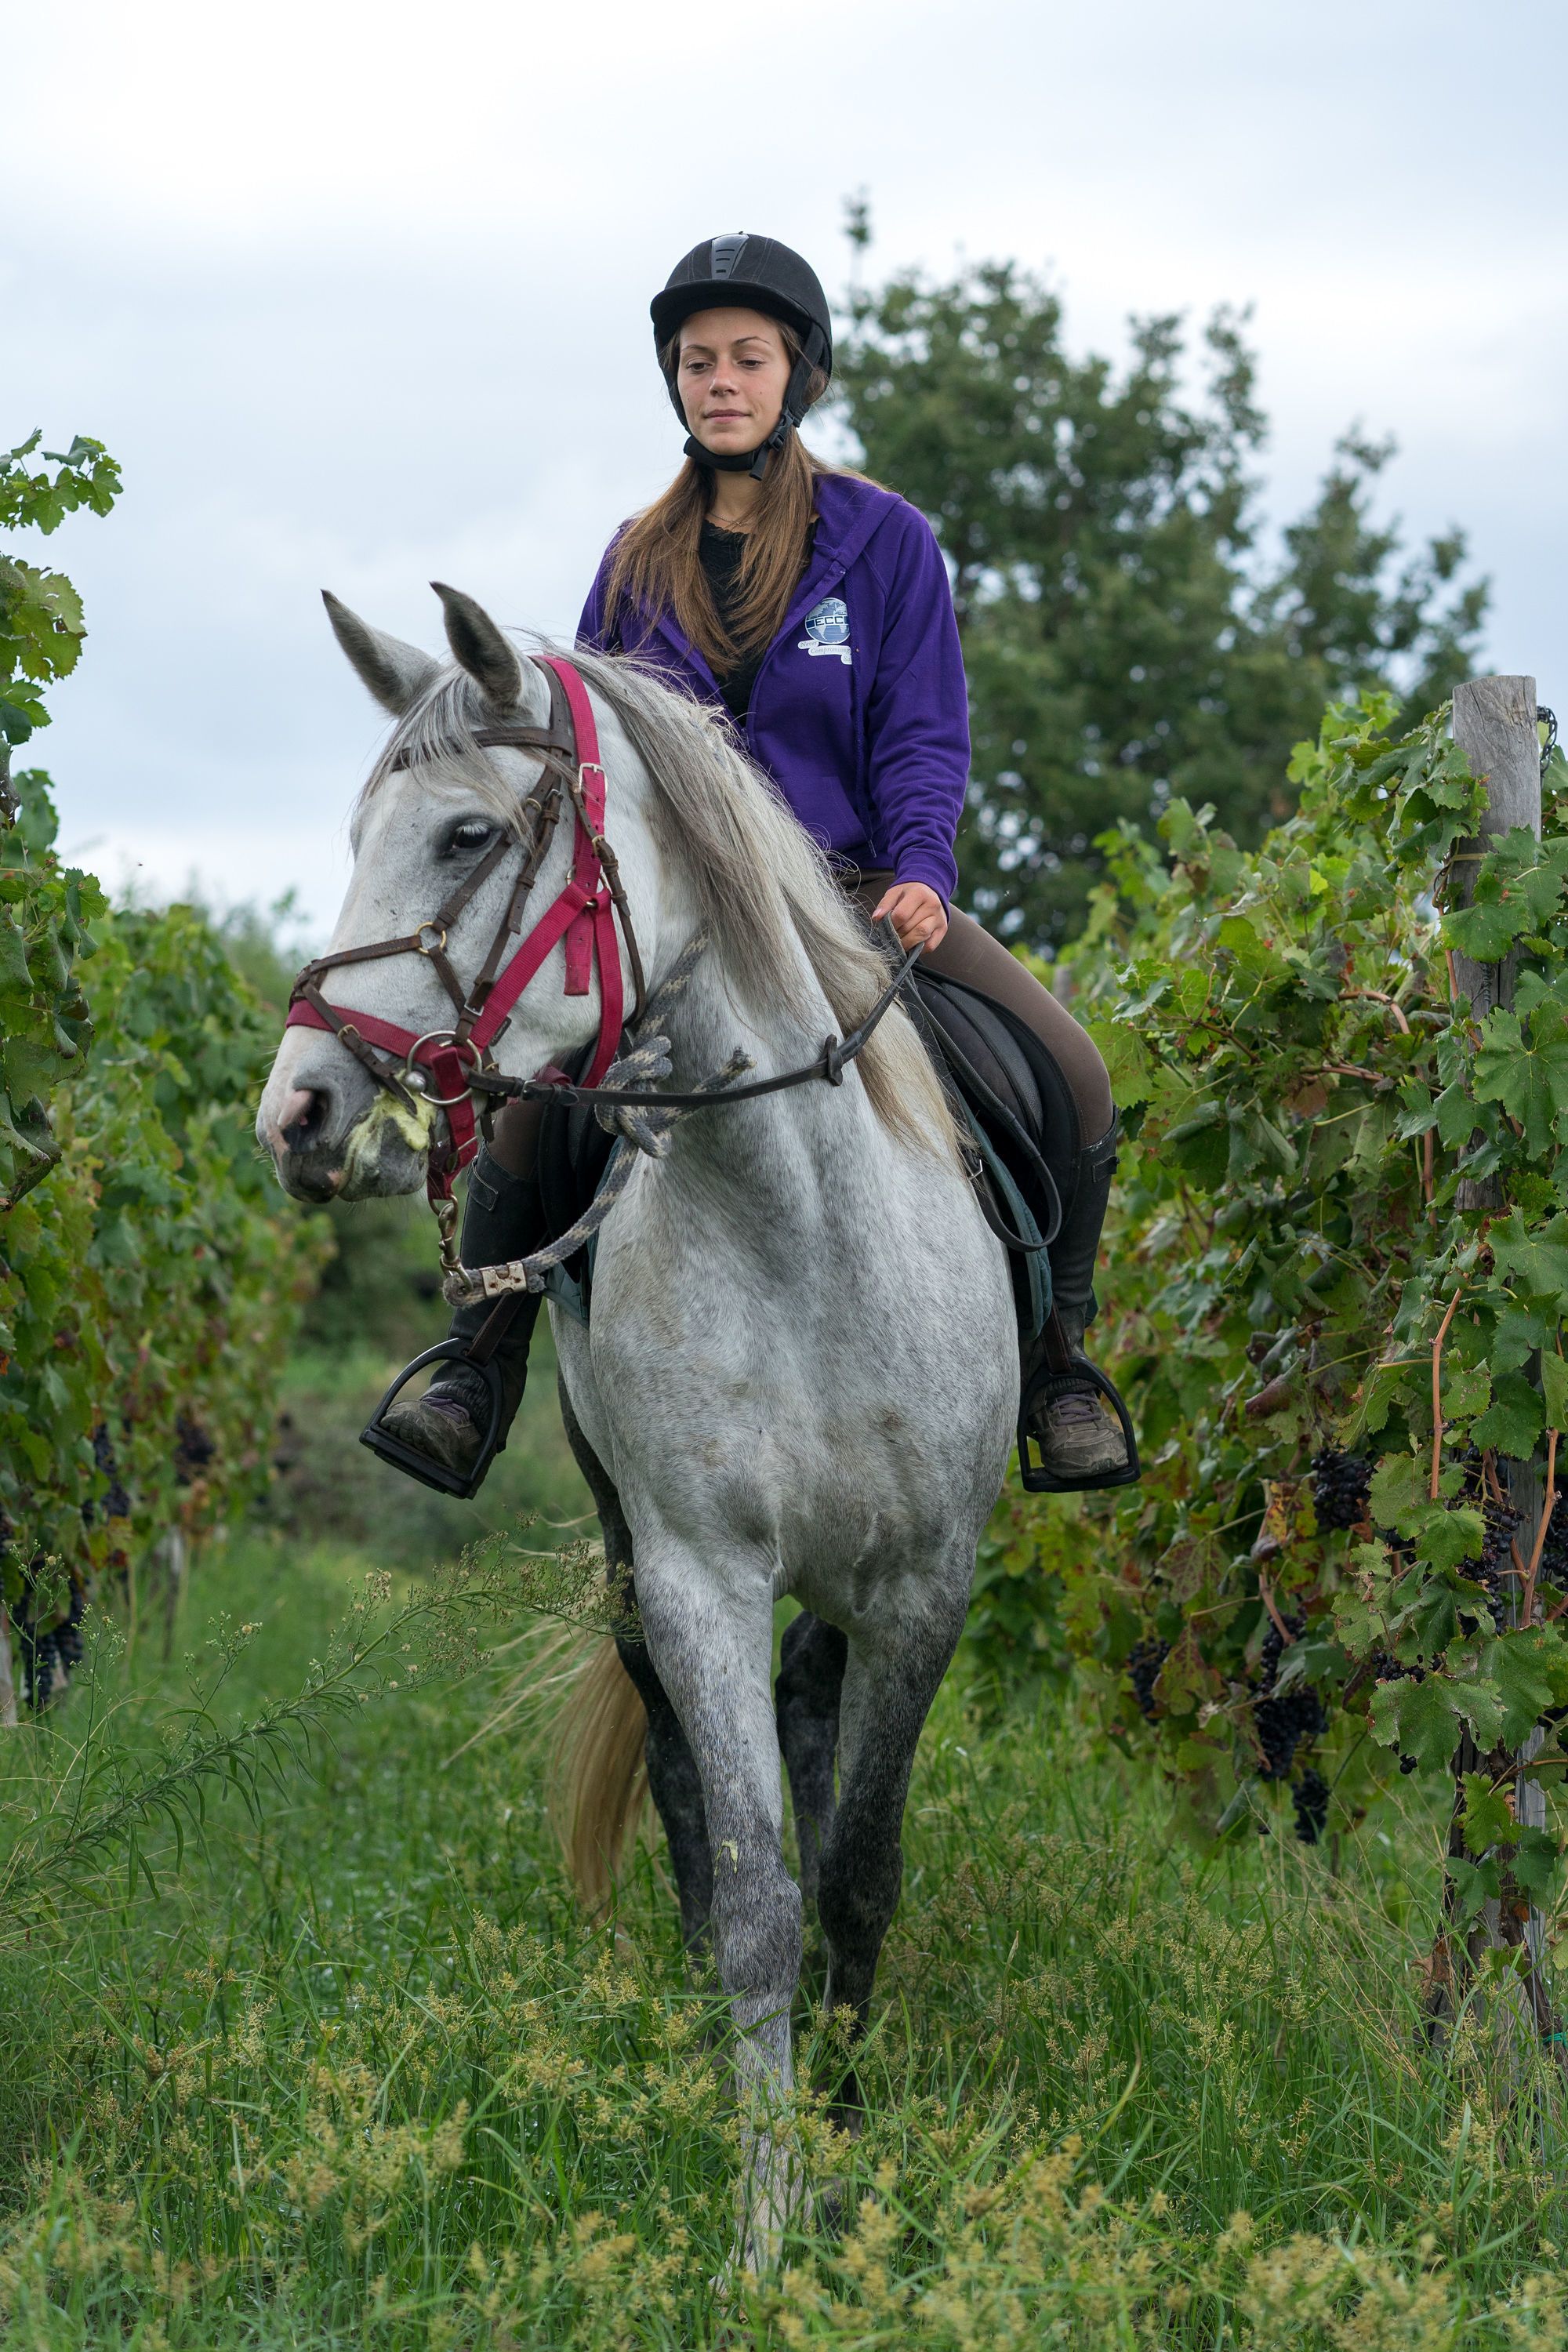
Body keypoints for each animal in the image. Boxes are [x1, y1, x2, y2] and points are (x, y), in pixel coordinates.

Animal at [256, 582, 1018, 2265]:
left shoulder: (922, 1588)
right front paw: (764, 2224)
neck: (801, 1225)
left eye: (467, 836)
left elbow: (858, 1874)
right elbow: (754, 1896)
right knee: (686, 1789)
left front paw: (849, 2146)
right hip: (632, 1561)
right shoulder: (696, 1579)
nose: (299, 1117)